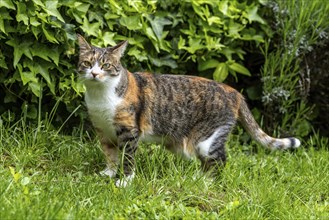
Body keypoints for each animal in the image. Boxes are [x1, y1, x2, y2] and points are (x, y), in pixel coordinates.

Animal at [77, 34, 300, 187]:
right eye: (87, 63)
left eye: (106, 65)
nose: (94, 73)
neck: (100, 97)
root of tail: (234, 92)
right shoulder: (103, 131)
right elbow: (110, 155)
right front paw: (108, 173)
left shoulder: (129, 131)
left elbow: (128, 158)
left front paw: (125, 181)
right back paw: (198, 178)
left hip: (207, 140)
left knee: (220, 161)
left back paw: (205, 182)